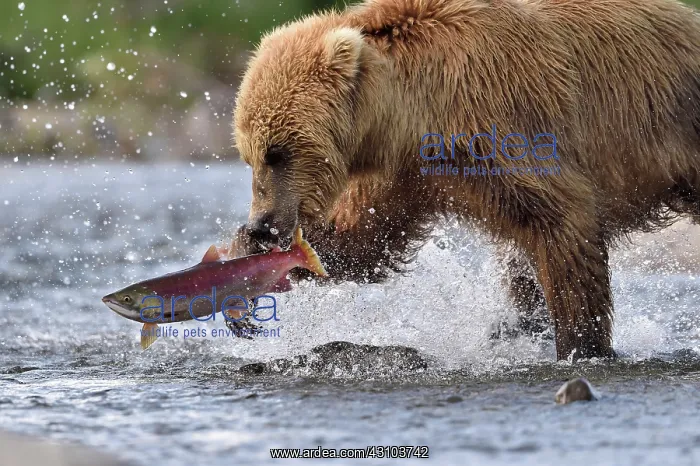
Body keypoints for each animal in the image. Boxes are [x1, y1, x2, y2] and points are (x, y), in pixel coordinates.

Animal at [230, 0, 700, 361]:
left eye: (279, 152)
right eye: (249, 154)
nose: (265, 224)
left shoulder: (503, 129)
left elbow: (563, 225)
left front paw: (584, 346)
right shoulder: (407, 176)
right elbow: (360, 243)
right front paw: (245, 274)